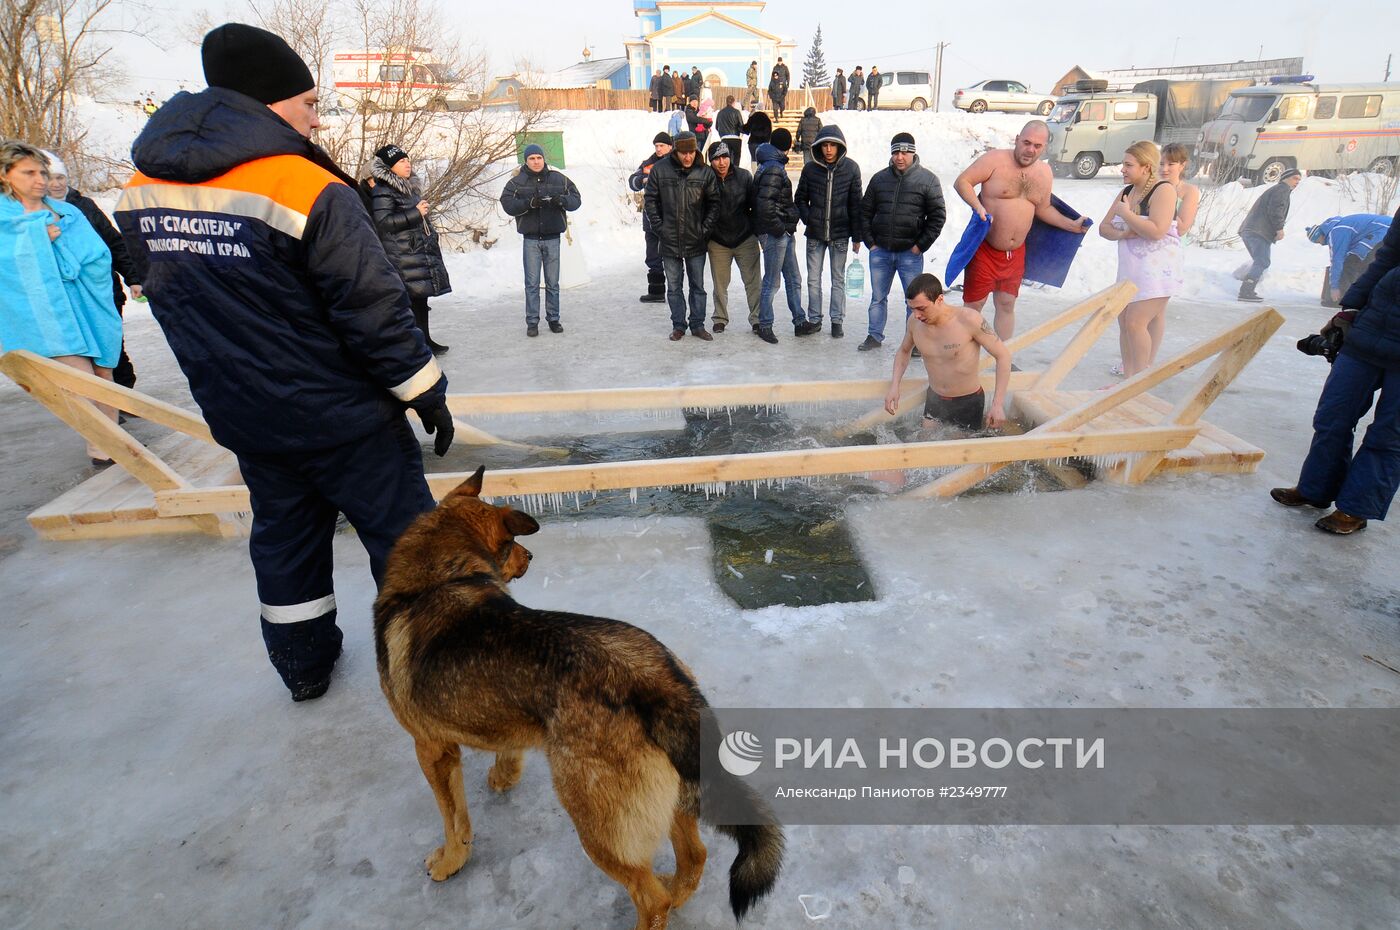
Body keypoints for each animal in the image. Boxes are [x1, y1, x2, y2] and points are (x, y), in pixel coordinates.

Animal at [372, 467, 784, 924]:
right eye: (512, 545)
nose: (530, 556)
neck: (443, 574)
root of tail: (656, 683)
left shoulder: (432, 749)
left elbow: (454, 819)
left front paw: (449, 861)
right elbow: (505, 748)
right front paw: (502, 776)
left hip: (596, 823)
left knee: (650, 898)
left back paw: (658, 903)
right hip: (669, 797)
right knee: (694, 857)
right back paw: (677, 892)